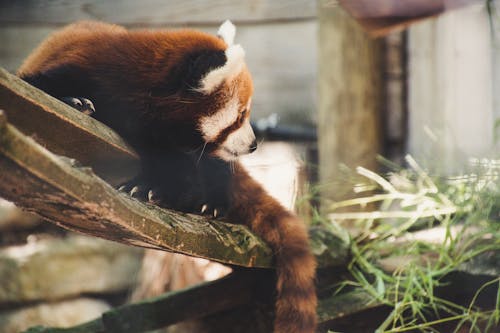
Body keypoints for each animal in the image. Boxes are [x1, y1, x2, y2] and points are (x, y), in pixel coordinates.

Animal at [19, 20, 318, 332]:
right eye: (239, 117)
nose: (253, 145)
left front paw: (160, 188)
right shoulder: (80, 69)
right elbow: (36, 82)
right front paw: (74, 101)